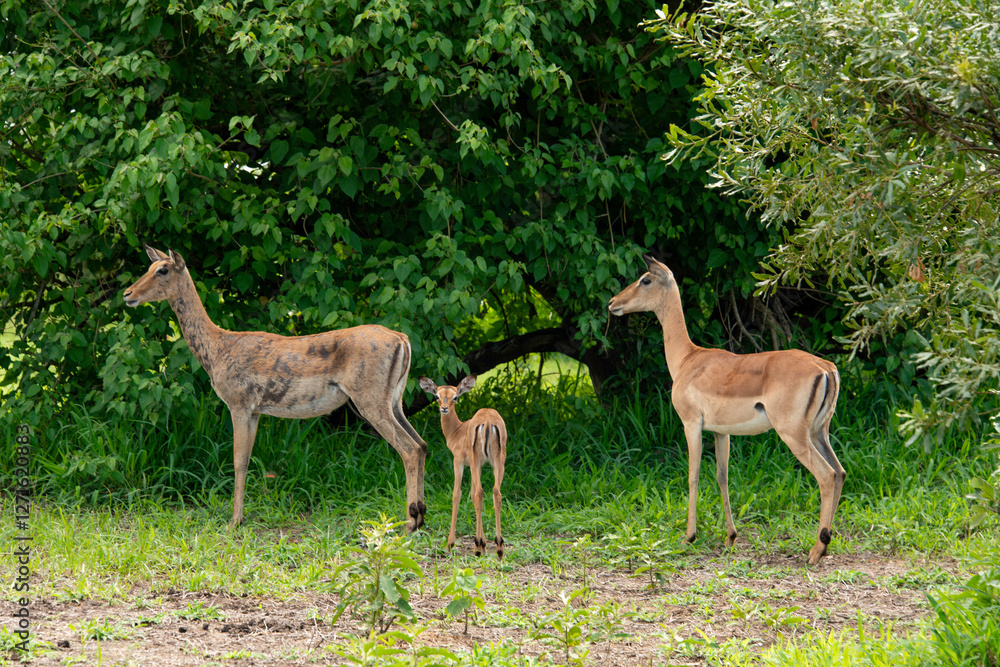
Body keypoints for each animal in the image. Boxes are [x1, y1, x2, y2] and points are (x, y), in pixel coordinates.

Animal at [122, 245, 428, 532]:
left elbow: (238, 460)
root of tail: (403, 339)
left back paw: (409, 524)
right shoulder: (256, 410)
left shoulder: (239, 402)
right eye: (149, 267)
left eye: (162, 270)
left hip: (370, 399)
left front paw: (234, 521)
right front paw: (239, 517)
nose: (127, 294)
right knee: (422, 444)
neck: (217, 349)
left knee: (409, 448)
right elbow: (246, 459)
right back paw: (420, 518)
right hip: (394, 400)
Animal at [418, 375, 507, 559]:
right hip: (498, 462)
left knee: (480, 492)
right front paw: (484, 545)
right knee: (496, 493)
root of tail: (488, 420)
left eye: (455, 397)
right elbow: (472, 496)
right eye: (437, 396)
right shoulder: (476, 466)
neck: (457, 431)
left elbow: (457, 494)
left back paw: (478, 547)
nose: (444, 408)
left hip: (476, 461)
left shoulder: (459, 461)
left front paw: (450, 544)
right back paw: (499, 548)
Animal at [608, 255, 845, 565]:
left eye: (645, 279)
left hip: (793, 434)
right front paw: (731, 537)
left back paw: (816, 551)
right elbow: (723, 476)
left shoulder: (691, 424)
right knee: (840, 472)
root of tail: (825, 367)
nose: (613, 302)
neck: (688, 359)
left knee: (826, 475)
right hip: (819, 432)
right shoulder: (722, 433)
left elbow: (693, 475)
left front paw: (689, 536)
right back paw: (827, 543)